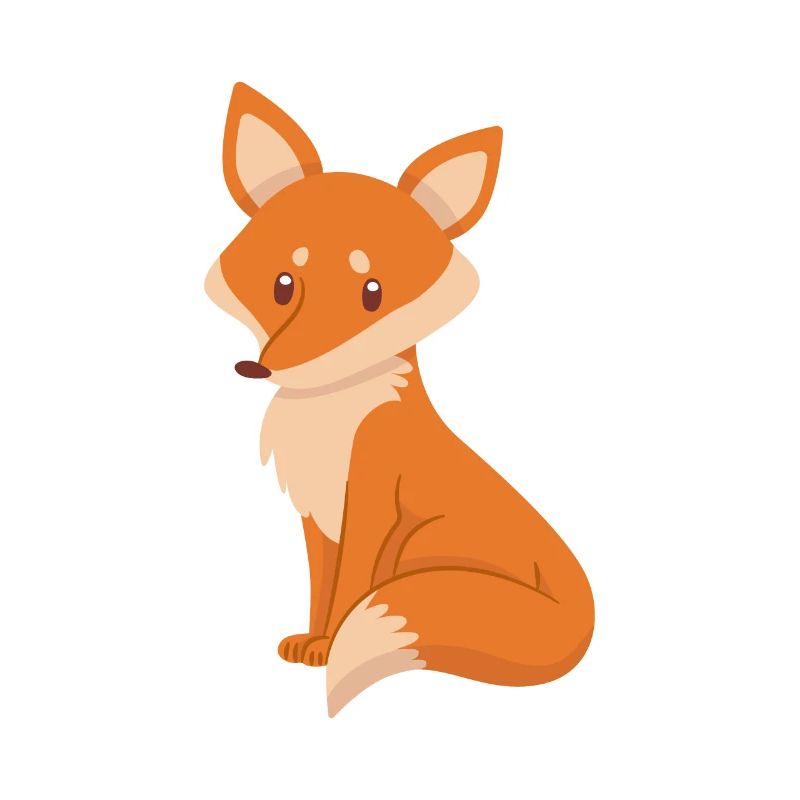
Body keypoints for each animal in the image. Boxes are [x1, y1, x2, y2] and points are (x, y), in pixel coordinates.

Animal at [206, 83, 594, 716]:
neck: (331, 418)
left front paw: (330, 649)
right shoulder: (318, 519)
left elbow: (351, 590)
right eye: (283, 283)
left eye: (373, 293)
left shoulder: (372, 505)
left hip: (426, 540)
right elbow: (322, 589)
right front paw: (312, 640)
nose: (257, 368)